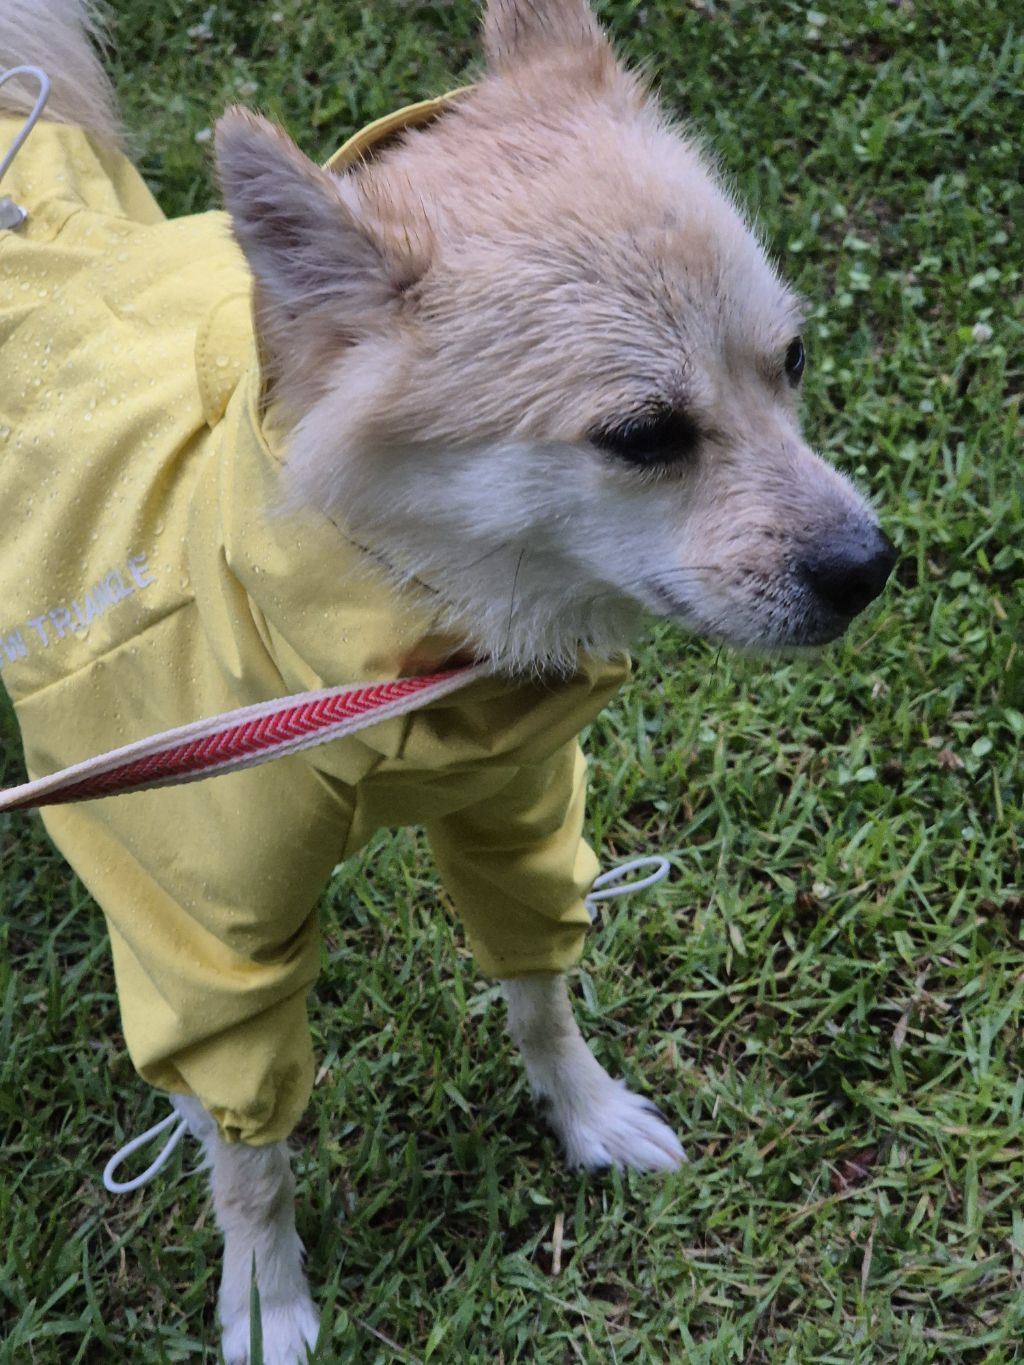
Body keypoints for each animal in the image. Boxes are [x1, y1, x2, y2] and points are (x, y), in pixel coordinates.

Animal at [0, 1, 896, 1360]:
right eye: (644, 436)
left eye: (790, 362)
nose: (871, 567)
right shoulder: (206, 945)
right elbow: (250, 1156)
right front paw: (264, 1294)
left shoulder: (514, 817)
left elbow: (540, 994)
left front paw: (584, 1114)